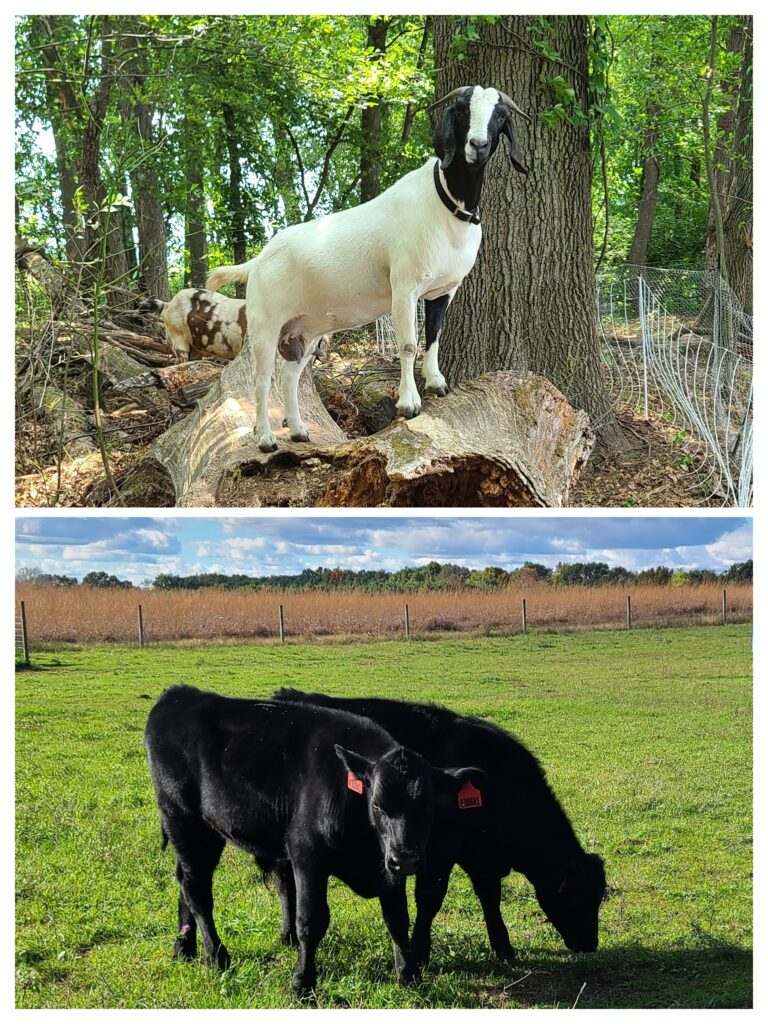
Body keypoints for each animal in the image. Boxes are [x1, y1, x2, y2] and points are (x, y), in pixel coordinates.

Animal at [144, 685, 484, 996]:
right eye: (377, 804)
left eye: (428, 805)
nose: (407, 859)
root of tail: (180, 694)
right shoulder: (308, 855)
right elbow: (311, 921)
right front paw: (302, 983)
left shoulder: (388, 870)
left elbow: (398, 919)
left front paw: (409, 975)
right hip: (184, 820)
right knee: (197, 889)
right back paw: (217, 956)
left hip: (202, 834)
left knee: (185, 883)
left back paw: (184, 949)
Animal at [206, 85, 529, 451]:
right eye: (461, 109)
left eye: (500, 116)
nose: (478, 145)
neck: (446, 203)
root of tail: (259, 260)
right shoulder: (405, 287)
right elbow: (408, 344)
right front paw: (408, 403)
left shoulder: (443, 291)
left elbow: (434, 335)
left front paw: (436, 383)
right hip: (266, 324)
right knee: (262, 379)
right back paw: (265, 438)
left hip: (306, 330)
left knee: (289, 377)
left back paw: (299, 431)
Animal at [273, 689, 606, 973]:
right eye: (580, 896)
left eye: (600, 895)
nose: (590, 944)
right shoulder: (438, 852)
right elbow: (430, 898)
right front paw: (419, 956)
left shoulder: (480, 856)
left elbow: (490, 896)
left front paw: (503, 948)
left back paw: (289, 935)